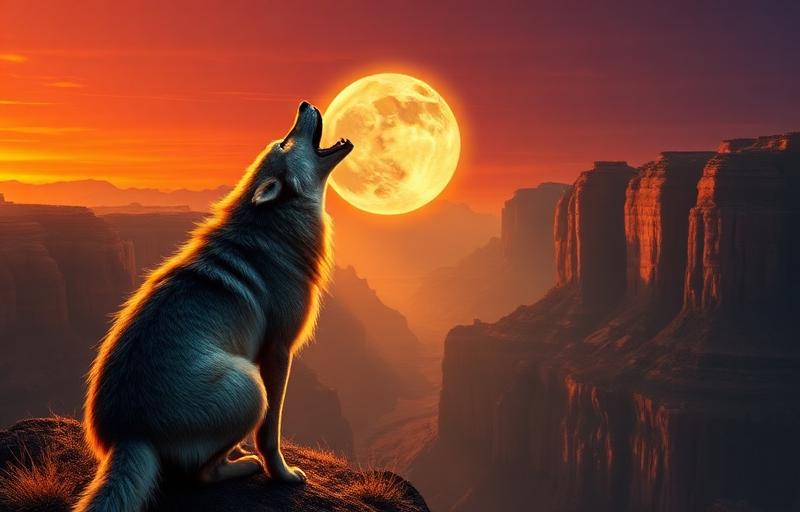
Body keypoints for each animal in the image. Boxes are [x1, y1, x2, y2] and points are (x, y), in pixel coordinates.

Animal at [74, 101, 353, 512]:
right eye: (284, 143)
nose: (303, 105)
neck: (275, 229)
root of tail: (130, 435)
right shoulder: (278, 352)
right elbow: (270, 434)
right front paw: (283, 475)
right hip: (250, 385)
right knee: (201, 474)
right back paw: (246, 465)